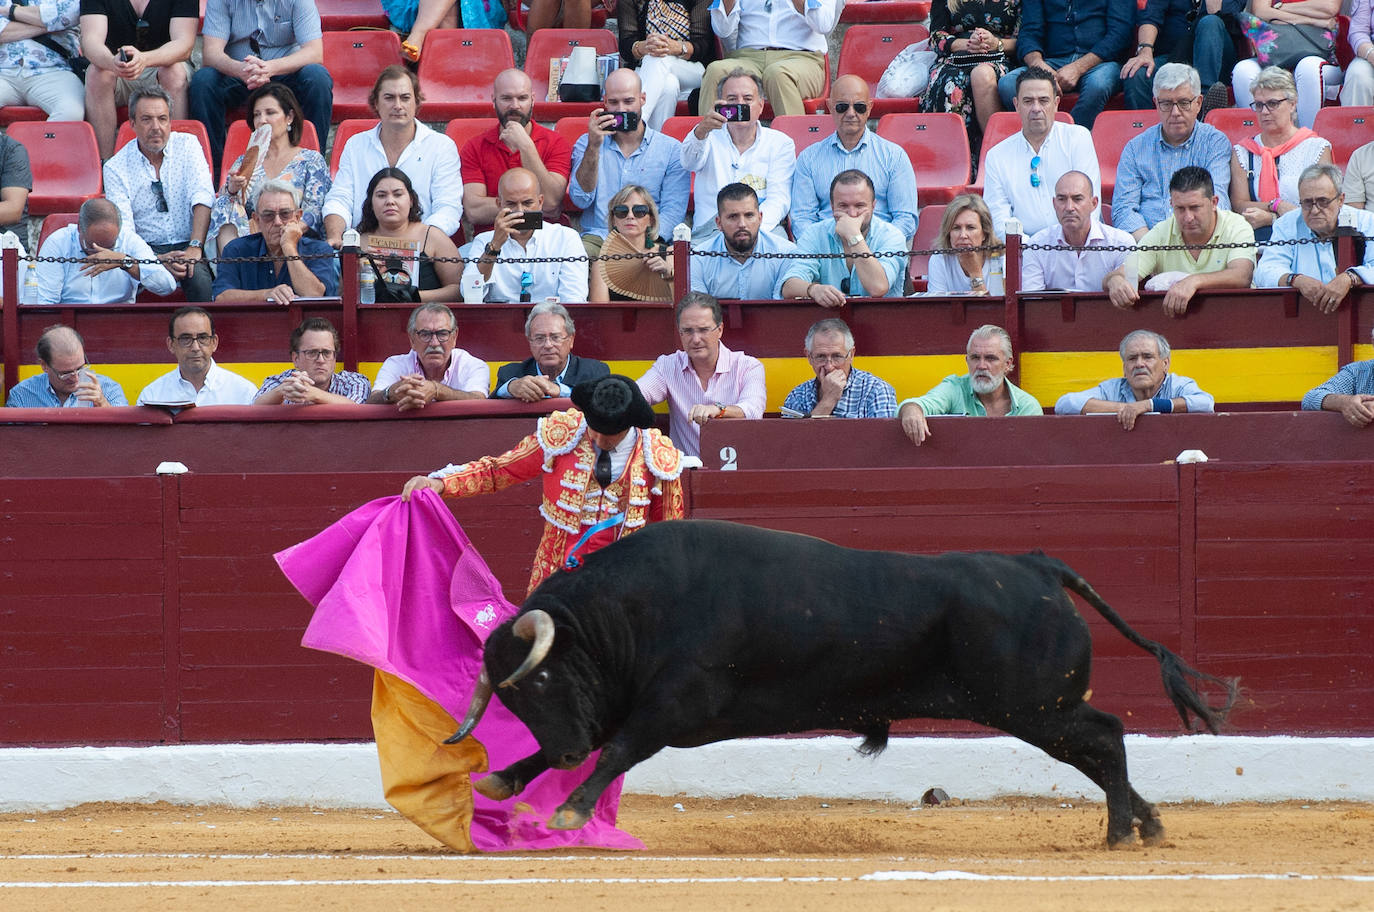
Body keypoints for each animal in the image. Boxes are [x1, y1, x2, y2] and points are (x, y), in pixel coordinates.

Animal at [447, 519, 1236, 846]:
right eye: (510, 695)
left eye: (542, 680)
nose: (567, 751)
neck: (631, 610)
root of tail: (1036, 564)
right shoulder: (622, 704)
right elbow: (584, 748)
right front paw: (504, 781)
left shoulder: (671, 706)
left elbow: (618, 751)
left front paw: (569, 813)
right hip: (1039, 708)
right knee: (1097, 749)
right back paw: (1144, 824)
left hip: (1036, 705)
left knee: (1106, 737)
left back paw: (1119, 833)